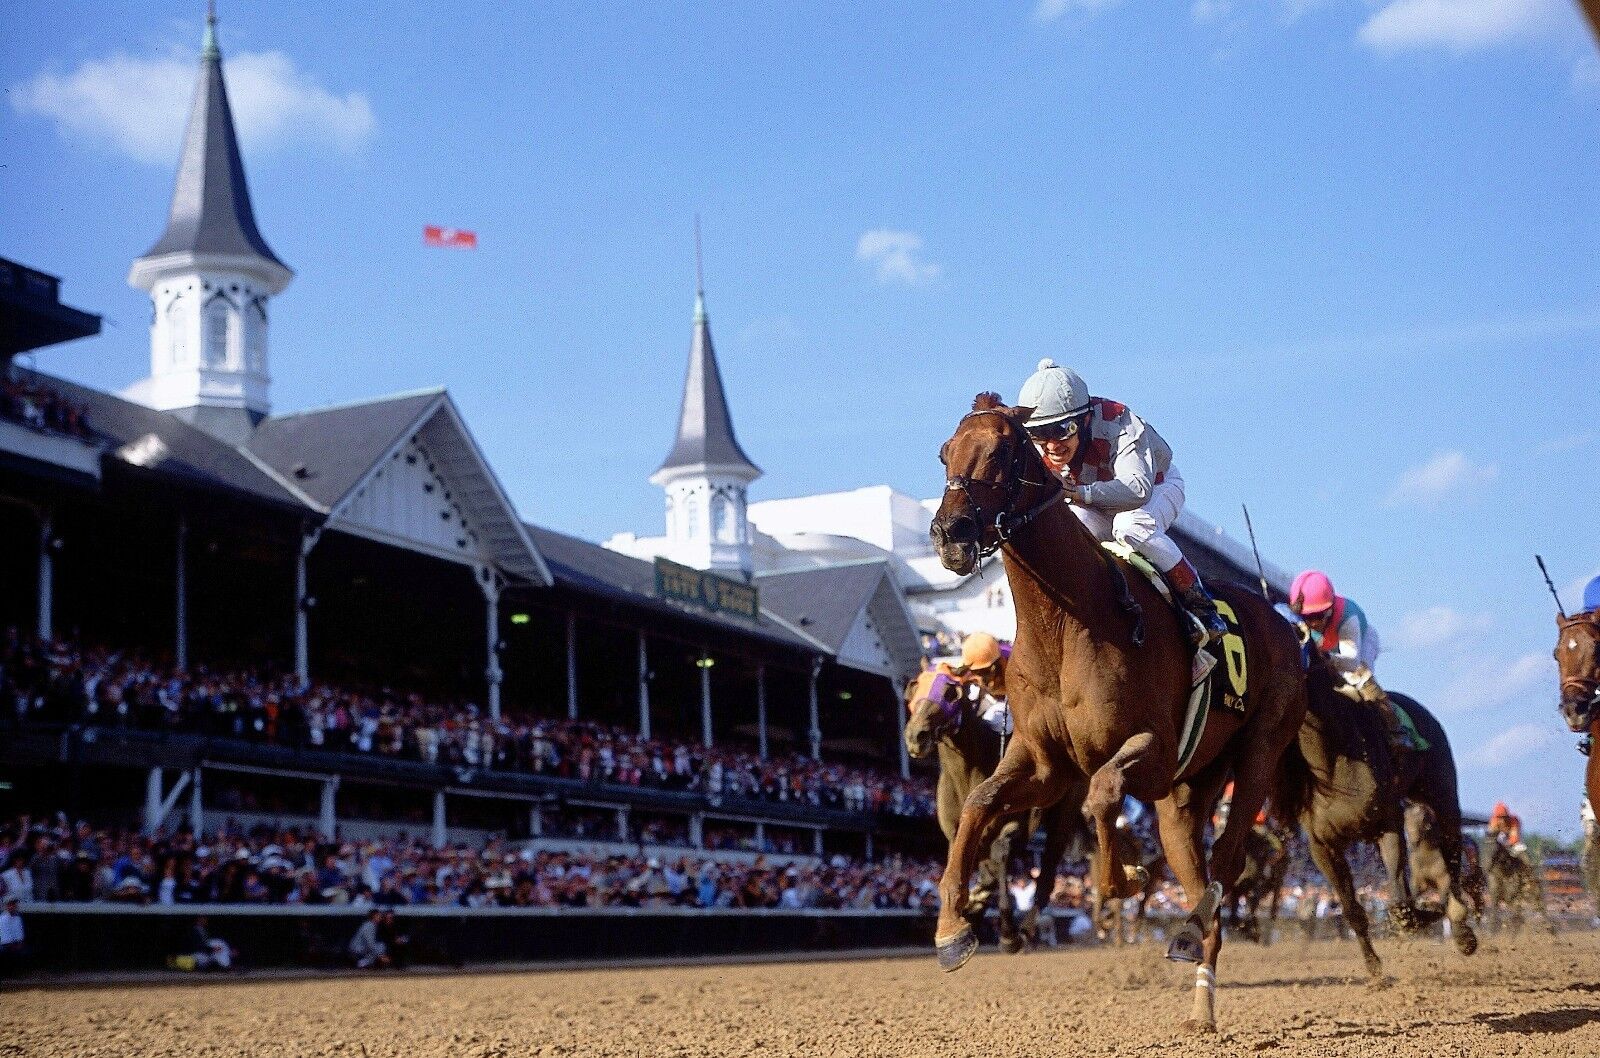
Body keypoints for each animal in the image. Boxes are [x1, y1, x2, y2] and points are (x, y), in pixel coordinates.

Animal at [902, 659, 1088, 947]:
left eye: (950, 693)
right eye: (914, 686)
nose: (916, 736)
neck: (967, 773)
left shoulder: (1016, 822)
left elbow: (1000, 855)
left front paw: (1007, 932)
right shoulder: (956, 831)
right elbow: (968, 861)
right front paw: (969, 908)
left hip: (1065, 813)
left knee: (1046, 874)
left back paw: (1024, 931)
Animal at [921, 396, 1305, 1030]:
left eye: (1000, 450)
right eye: (944, 452)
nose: (949, 533)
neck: (1067, 621)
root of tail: (1283, 623)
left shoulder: (1152, 749)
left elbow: (1101, 794)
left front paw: (1124, 876)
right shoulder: (1045, 764)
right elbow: (979, 803)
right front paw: (953, 929)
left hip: (1257, 754)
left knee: (1226, 864)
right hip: (1185, 797)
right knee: (1202, 877)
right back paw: (1199, 986)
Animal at [1273, 659, 1472, 979]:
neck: (1334, 761)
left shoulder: (1387, 824)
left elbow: (1401, 907)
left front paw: (1431, 913)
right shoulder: (1323, 846)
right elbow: (1354, 909)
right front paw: (1374, 968)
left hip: (1442, 794)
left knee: (1452, 855)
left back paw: (1462, 929)